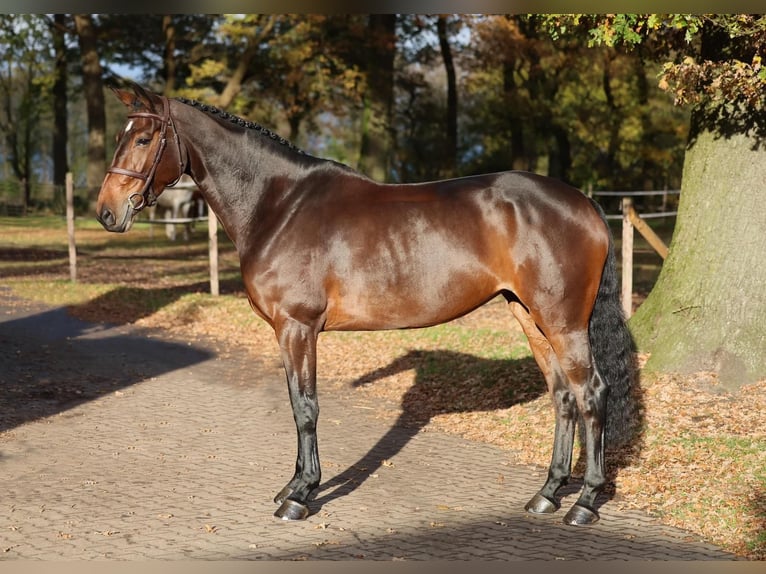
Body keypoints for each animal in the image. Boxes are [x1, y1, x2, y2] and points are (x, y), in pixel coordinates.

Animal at [96, 83, 636, 528]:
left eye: (144, 139)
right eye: (123, 136)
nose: (107, 212)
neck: (280, 204)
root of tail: (585, 203)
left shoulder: (297, 327)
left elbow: (305, 406)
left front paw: (301, 496)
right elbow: (297, 403)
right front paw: (293, 487)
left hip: (563, 322)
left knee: (591, 393)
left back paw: (584, 503)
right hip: (529, 316)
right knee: (562, 396)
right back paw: (546, 495)